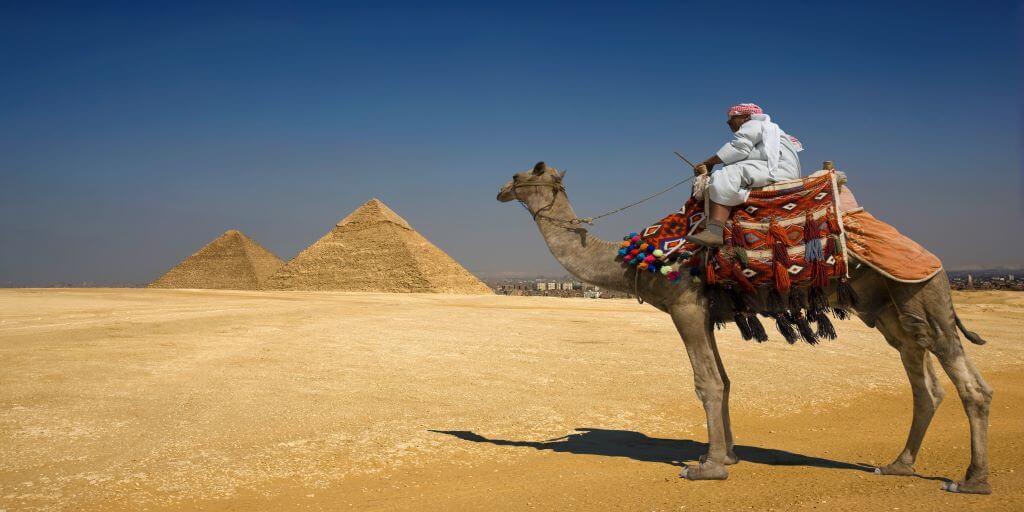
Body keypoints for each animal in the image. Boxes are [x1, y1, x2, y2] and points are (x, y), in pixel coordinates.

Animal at [496, 161, 993, 494]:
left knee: (969, 383)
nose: (500, 189)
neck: (638, 258)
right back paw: (898, 465)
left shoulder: (686, 305)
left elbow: (708, 383)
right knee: (926, 384)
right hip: (890, 309)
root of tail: (934, 261)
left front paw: (708, 466)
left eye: (522, 175)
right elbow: (726, 379)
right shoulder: (709, 313)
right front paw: (725, 454)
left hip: (922, 292)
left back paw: (972, 480)